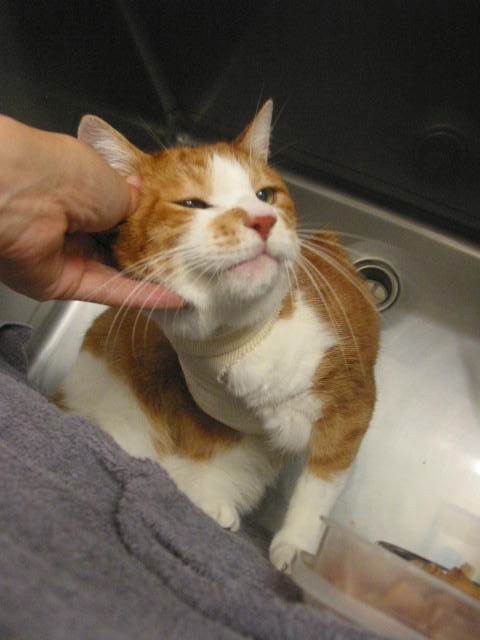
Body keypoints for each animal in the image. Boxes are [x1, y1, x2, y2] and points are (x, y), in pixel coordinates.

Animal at [57, 101, 380, 573]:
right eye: (193, 203)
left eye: (265, 195)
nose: (263, 220)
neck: (246, 340)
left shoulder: (352, 402)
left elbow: (319, 486)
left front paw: (296, 547)